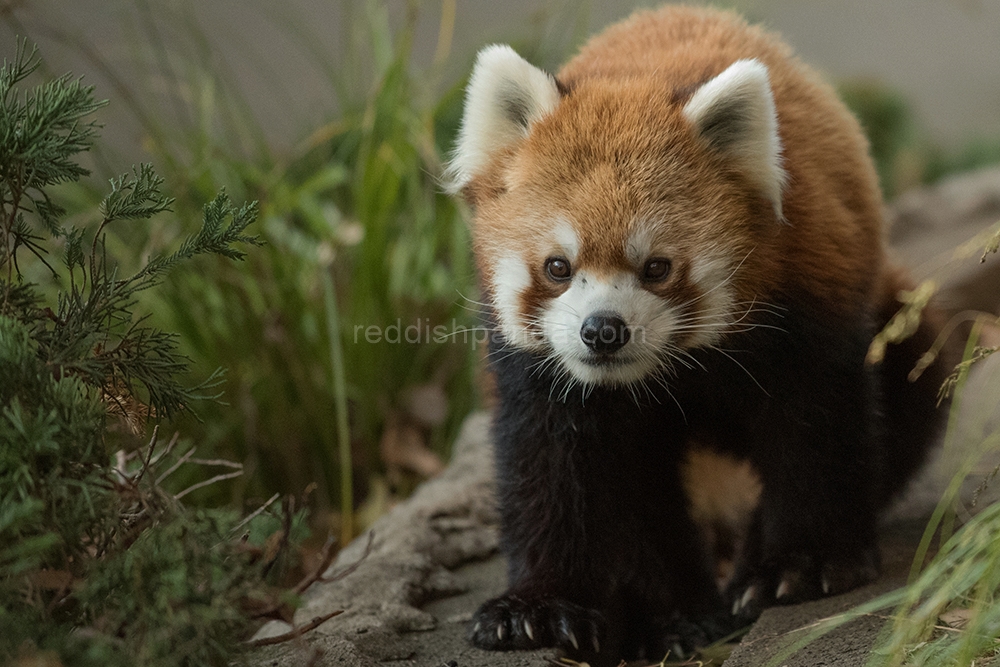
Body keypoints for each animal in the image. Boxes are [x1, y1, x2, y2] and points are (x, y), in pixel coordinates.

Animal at [450, 5, 948, 664]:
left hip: (901, 320)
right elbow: (555, 466)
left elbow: (815, 427)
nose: (602, 331)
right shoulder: (543, 374)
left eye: (657, 267)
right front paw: (539, 609)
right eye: (558, 267)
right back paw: (673, 616)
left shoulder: (808, 300)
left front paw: (802, 565)